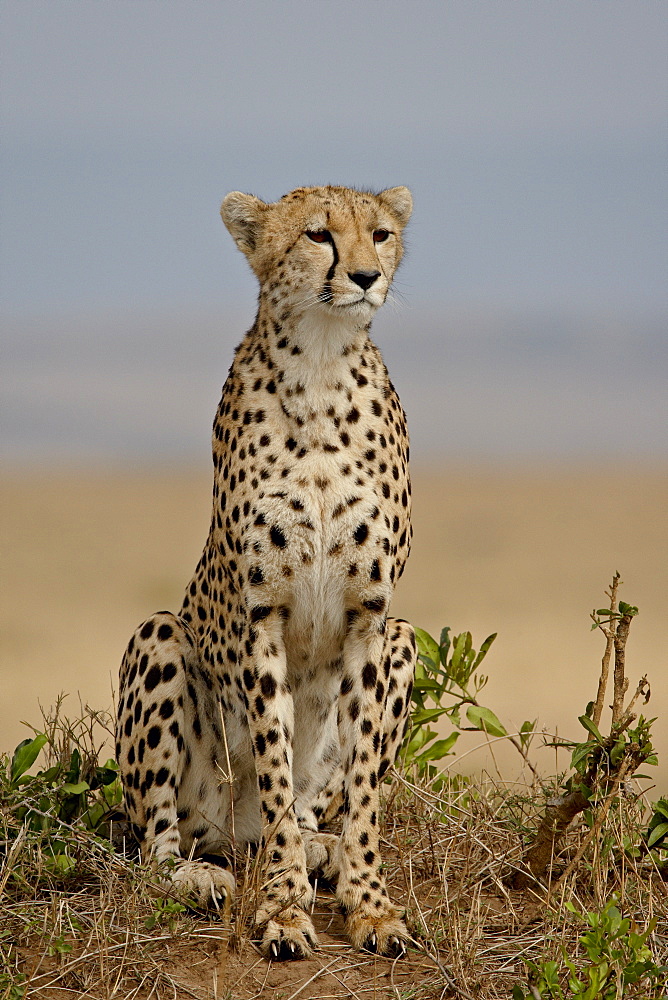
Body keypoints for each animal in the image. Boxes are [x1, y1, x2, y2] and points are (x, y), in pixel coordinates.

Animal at [115, 188, 418, 960]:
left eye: (381, 234)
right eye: (318, 235)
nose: (367, 276)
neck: (322, 370)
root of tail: (233, 831)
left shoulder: (372, 617)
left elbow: (363, 784)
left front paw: (369, 904)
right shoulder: (262, 617)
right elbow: (275, 762)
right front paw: (282, 908)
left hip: (406, 637)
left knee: (313, 808)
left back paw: (321, 849)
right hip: (161, 639)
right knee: (158, 844)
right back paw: (202, 876)